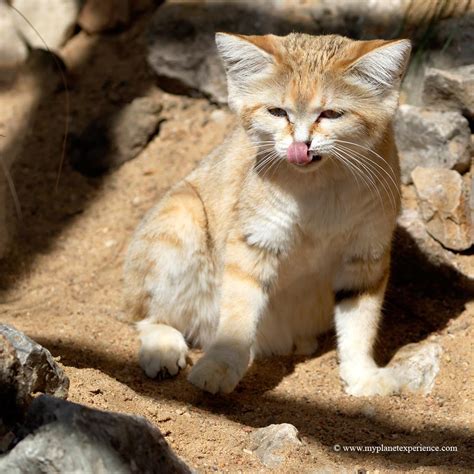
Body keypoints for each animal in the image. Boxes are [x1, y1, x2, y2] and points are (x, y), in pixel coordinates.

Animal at [122, 31, 412, 396]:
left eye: (331, 114)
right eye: (277, 112)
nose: (302, 145)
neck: (320, 186)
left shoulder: (365, 256)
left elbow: (361, 321)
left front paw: (362, 374)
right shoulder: (253, 242)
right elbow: (238, 312)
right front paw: (219, 366)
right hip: (179, 220)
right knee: (143, 314)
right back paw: (162, 347)